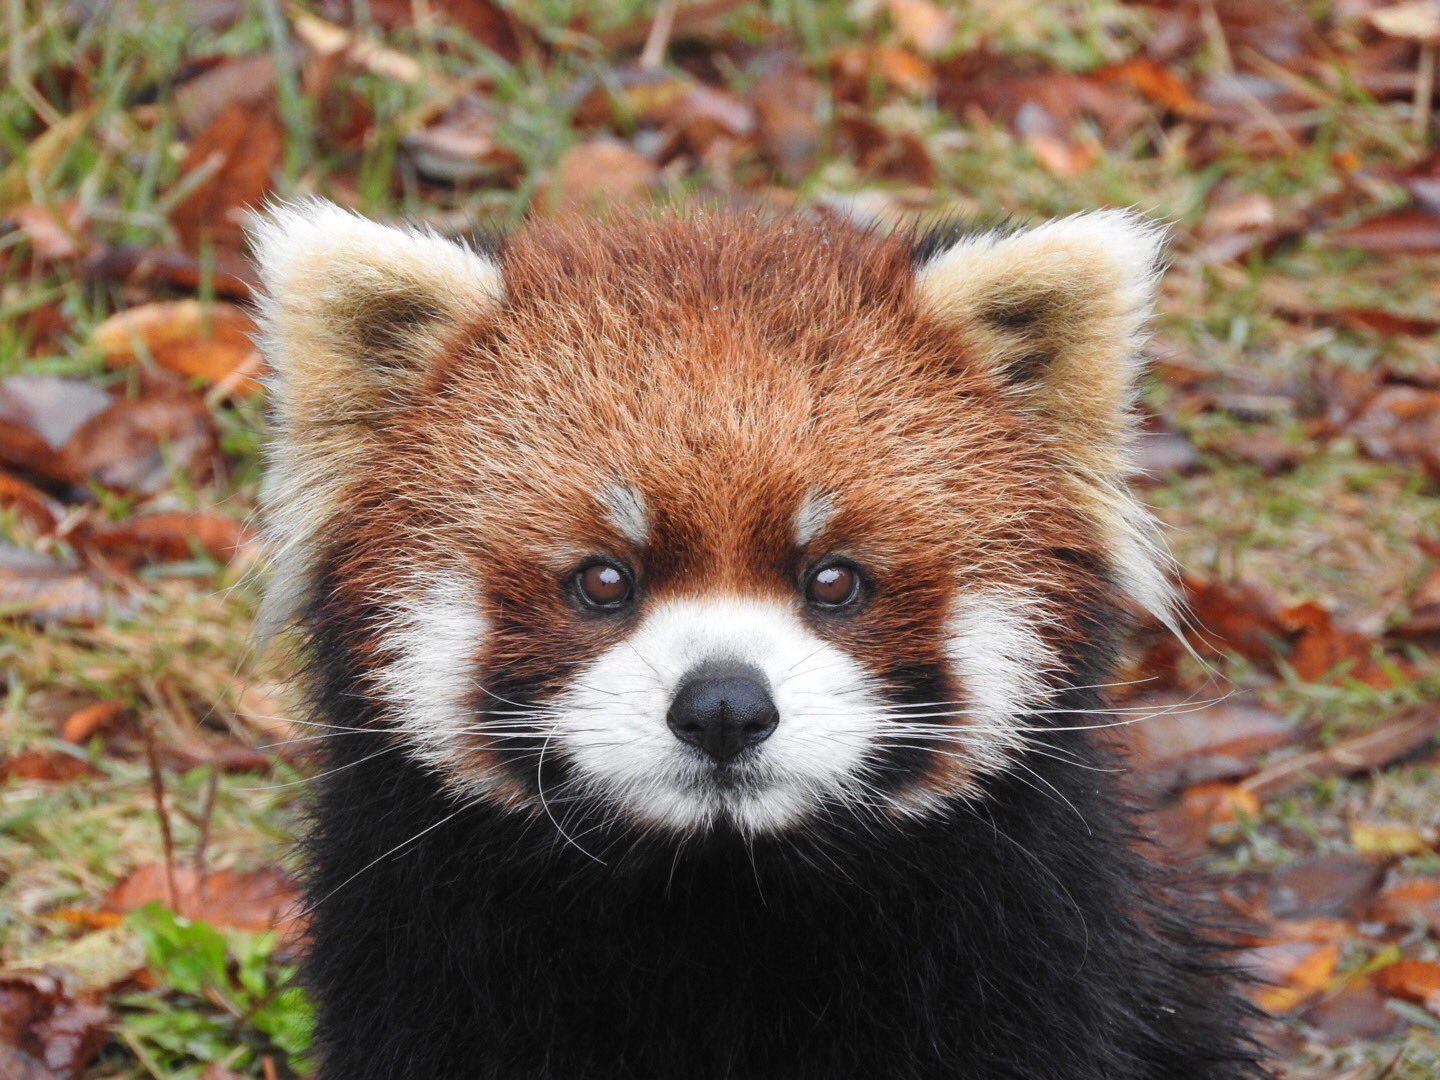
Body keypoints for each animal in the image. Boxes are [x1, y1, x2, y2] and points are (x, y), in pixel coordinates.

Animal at [253, 204, 1267, 1080]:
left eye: (833, 580)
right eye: (604, 580)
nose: (724, 706)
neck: (717, 895)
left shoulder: (1031, 953)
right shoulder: (422, 961)